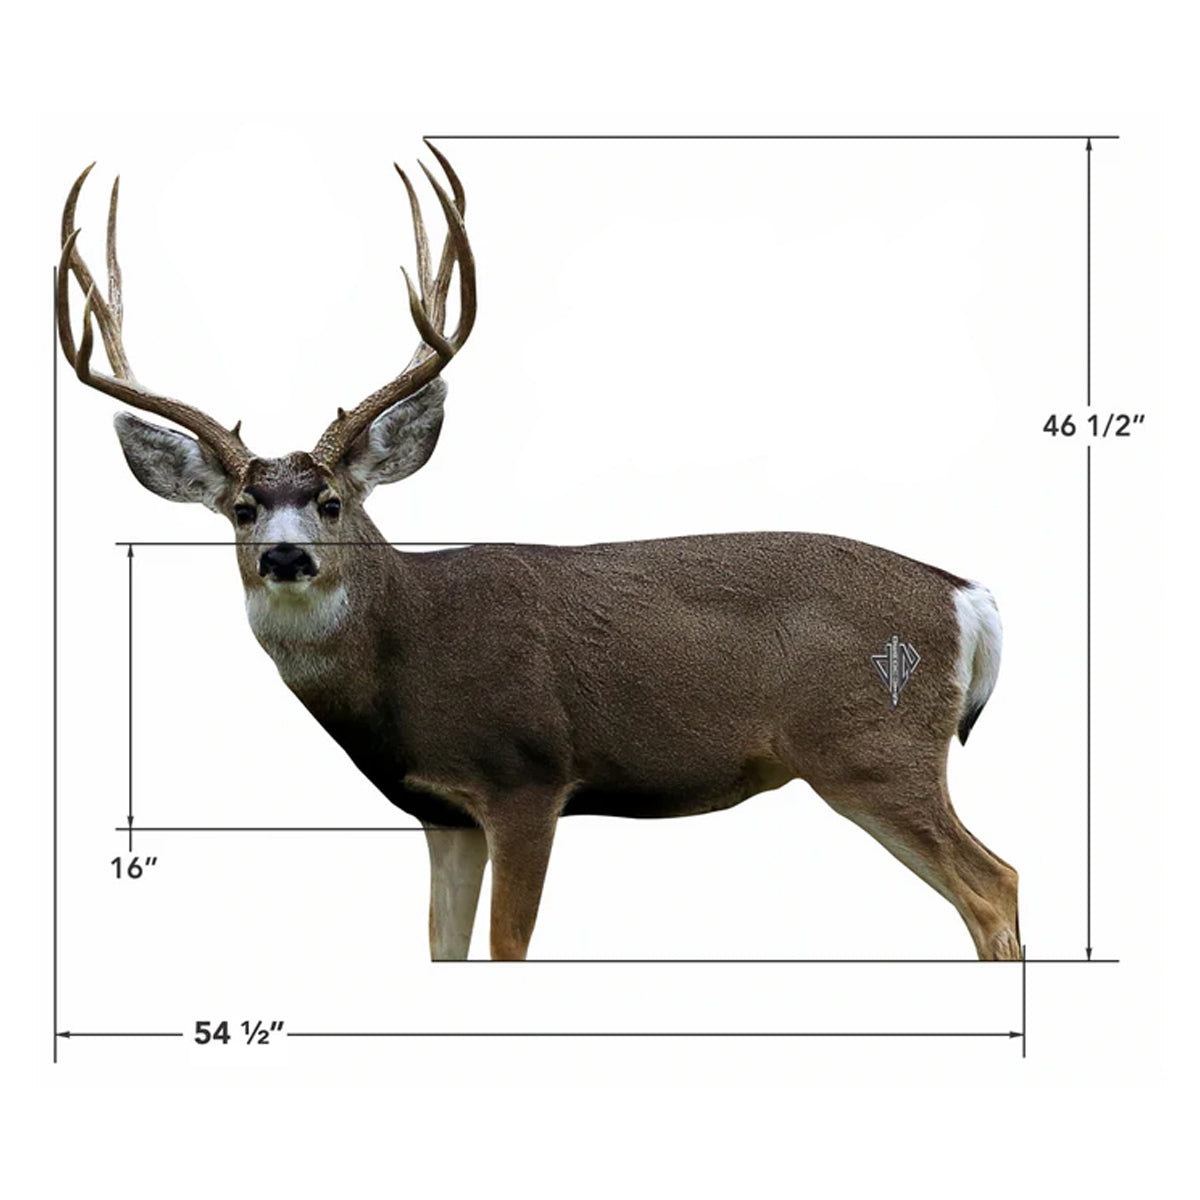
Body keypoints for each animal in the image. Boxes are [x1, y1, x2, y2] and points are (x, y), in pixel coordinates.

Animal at [56, 145, 1019, 962]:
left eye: (332, 501)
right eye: (243, 509)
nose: (286, 559)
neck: (410, 650)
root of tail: (965, 597)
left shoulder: (528, 777)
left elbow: (507, 949)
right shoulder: (442, 814)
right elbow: (442, 950)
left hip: (872, 747)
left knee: (993, 887)